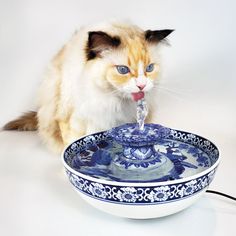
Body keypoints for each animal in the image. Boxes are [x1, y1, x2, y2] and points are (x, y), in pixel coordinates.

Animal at [3, 21, 173, 153]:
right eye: (123, 70)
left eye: (149, 68)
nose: (141, 85)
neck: (114, 102)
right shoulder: (74, 119)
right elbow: (74, 144)